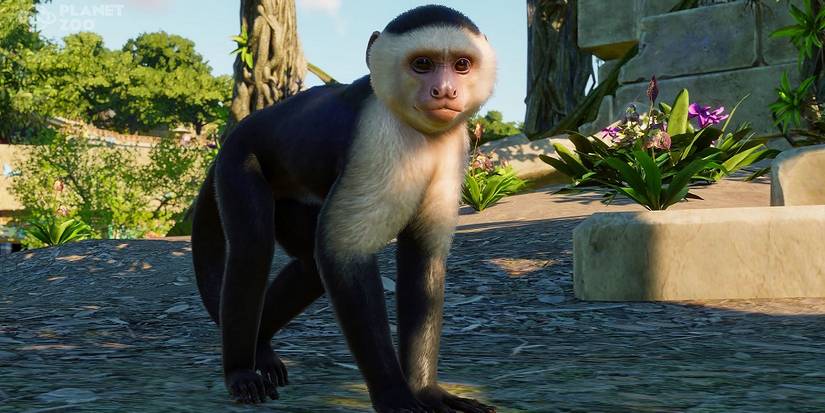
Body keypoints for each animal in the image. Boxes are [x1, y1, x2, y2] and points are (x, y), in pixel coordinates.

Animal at [191, 5, 497, 413]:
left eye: (462, 65)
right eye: (423, 64)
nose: (445, 90)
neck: (416, 132)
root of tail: (237, 131)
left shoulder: (454, 145)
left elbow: (423, 258)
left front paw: (426, 391)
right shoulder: (375, 138)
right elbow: (343, 251)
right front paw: (394, 395)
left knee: (309, 267)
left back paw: (262, 347)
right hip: (238, 161)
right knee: (252, 249)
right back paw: (240, 369)